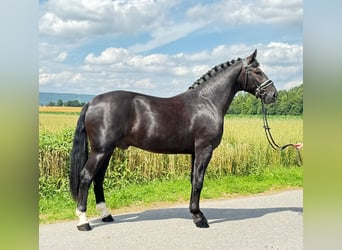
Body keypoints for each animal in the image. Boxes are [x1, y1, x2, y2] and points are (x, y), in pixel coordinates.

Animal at [69, 49, 278, 231]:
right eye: (257, 71)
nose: (273, 94)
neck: (207, 101)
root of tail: (92, 102)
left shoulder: (195, 151)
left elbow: (193, 180)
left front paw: (195, 214)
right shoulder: (204, 149)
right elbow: (199, 182)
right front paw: (200, 218)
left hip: (108, 150)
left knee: (98, 178)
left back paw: (106, 215)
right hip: (100, 150)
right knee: (86, 176)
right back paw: (83, 222)